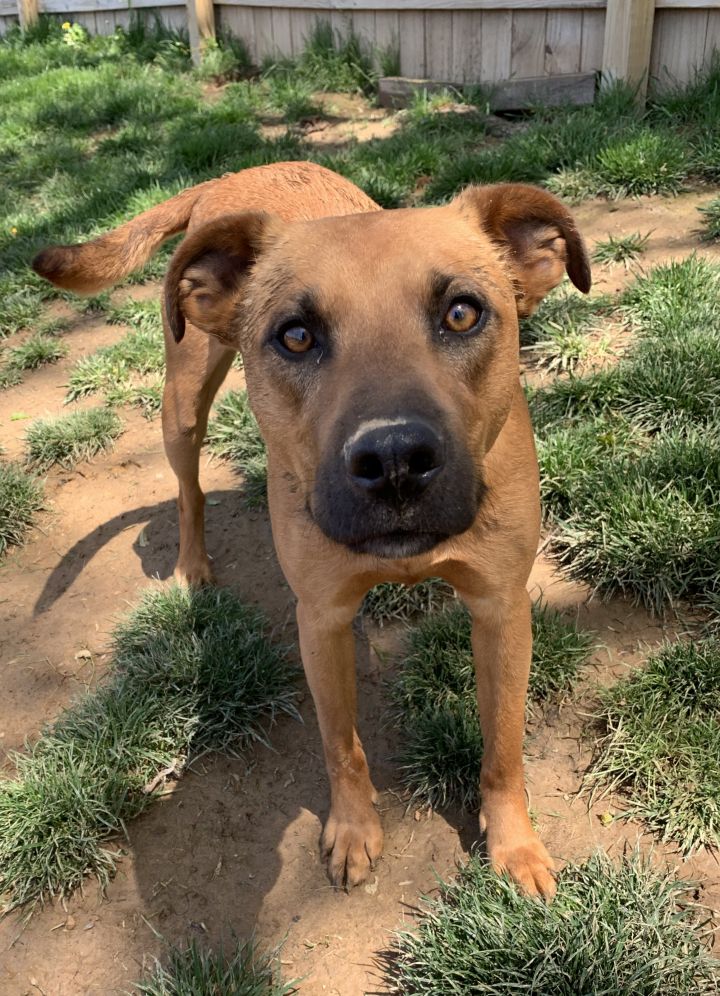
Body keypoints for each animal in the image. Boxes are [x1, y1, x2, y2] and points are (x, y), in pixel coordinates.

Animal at [32, 161, 592, 896]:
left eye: (462, 312)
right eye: (296, 335)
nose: (393, 460)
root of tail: (241, 171)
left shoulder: (501, 609)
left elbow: (502, 747)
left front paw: (515, 848)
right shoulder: (322, 618)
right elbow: (340, 743)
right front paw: (353, 832)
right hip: (182, 402)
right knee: (188, 490)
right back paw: (192, 567)